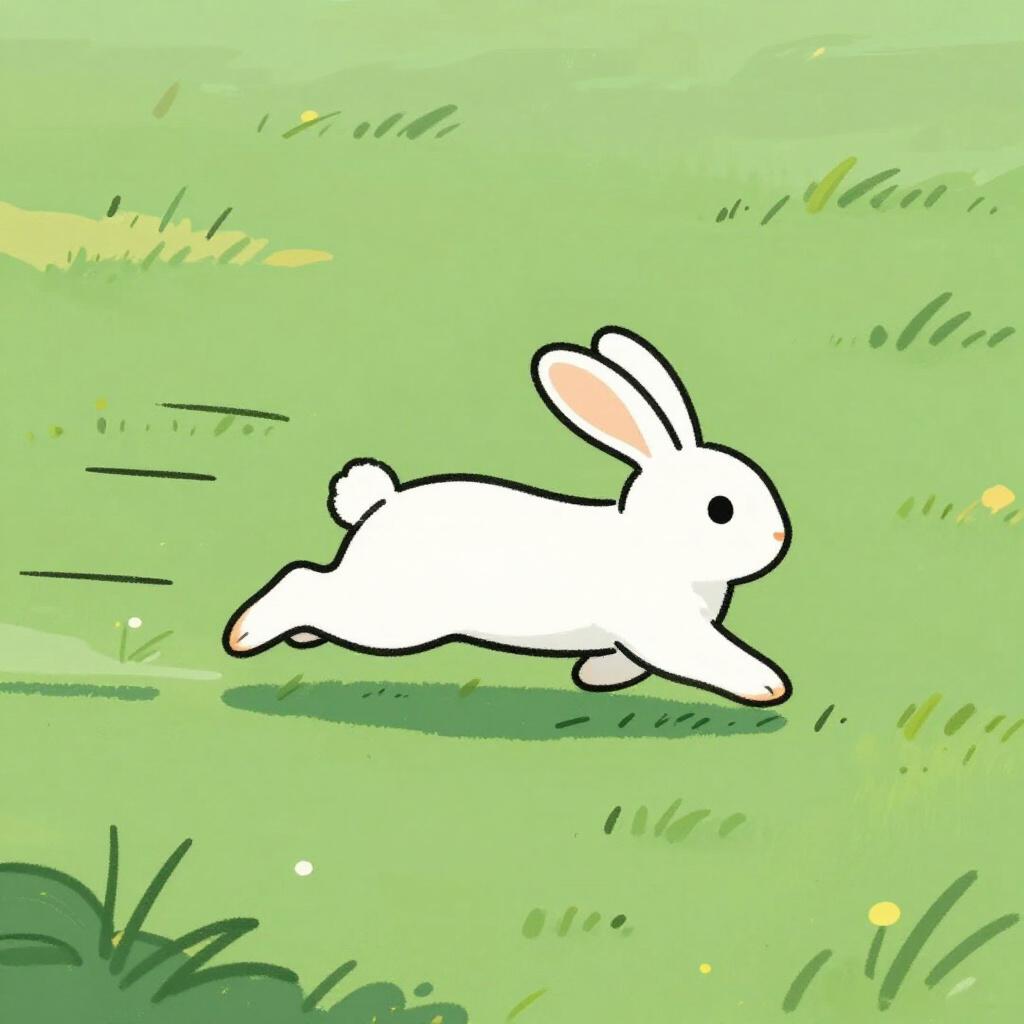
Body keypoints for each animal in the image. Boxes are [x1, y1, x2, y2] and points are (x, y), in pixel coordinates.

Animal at [224, 326, 792, 706]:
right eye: (721, 510)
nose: (778, 536)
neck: (654, 540)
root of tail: (380, 503)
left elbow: (627, 661)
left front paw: (596, 676)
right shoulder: (665, 627)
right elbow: (705, 656)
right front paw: (767, 684)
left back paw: (297, 636)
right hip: (392, 619)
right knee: (302, 581)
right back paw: (245, 634)